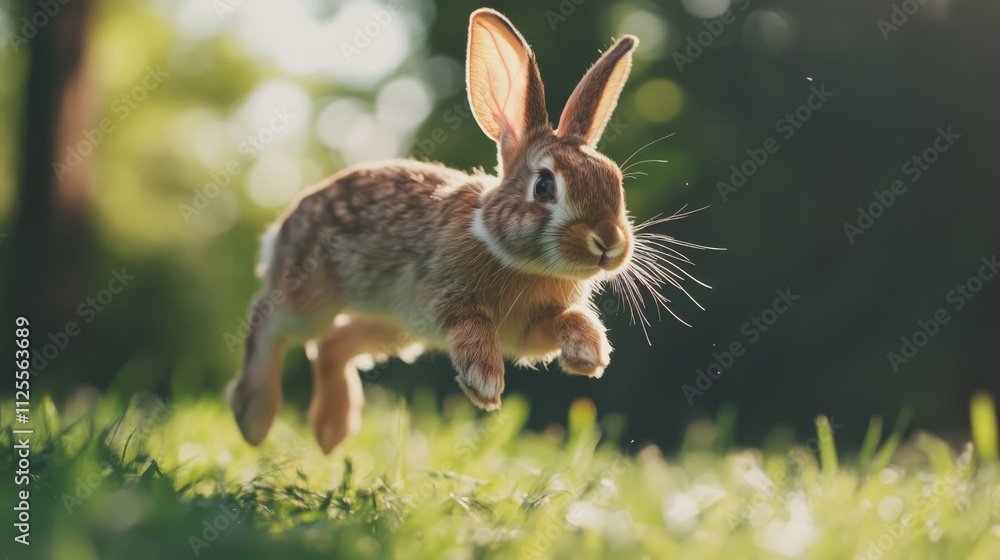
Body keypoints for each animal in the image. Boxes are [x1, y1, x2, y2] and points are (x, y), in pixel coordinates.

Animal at [227, 7, 685, 454]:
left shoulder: (530, 332)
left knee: (332, 345)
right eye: (545, 186)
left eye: (615, 181)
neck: (516, 259)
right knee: (267, 317)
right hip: (318, 301)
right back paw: (253, 417)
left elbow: (565, 318)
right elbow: (470, 317)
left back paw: (331, 431)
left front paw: (589, 353)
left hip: (392, 328)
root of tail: (280, 230)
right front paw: (484, 380)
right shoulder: (437, 293)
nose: (609, 240)